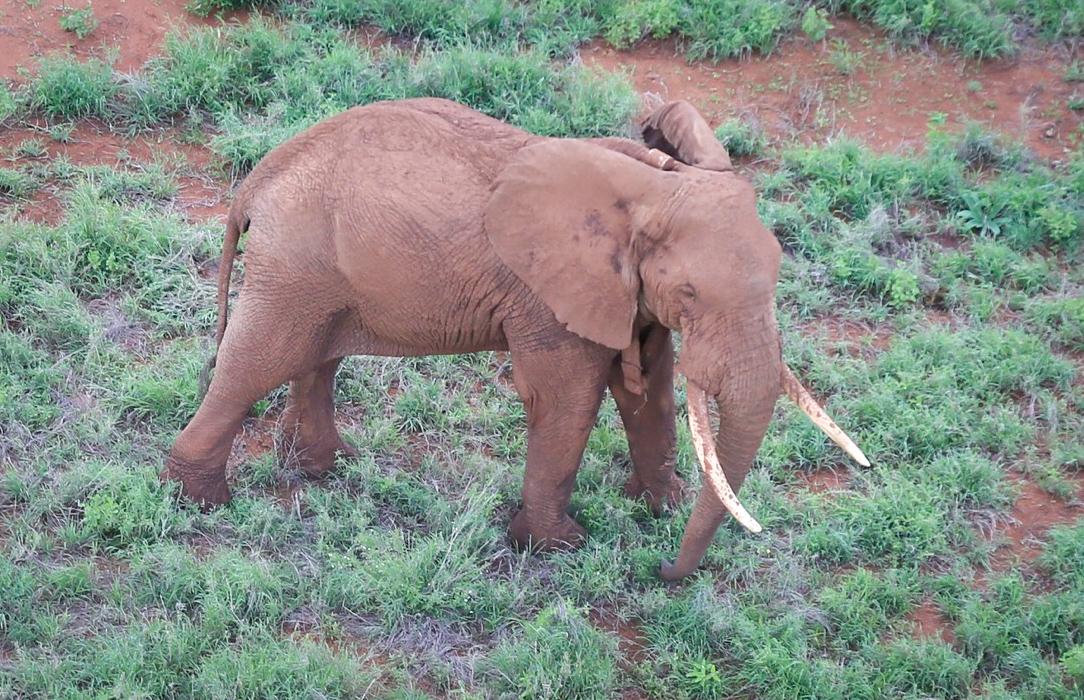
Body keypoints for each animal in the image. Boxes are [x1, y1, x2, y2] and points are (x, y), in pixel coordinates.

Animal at [162, 98, 871, 580]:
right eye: (693, 294)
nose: (662, 573)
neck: (653, 186)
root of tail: (257, 179)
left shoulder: (625, 296)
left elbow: (651, 389)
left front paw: (656, 509)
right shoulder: (548, 298)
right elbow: (569, 398)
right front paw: (561, 548)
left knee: (317, 356)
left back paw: (326, 470)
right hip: (295, 263)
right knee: (260, 360)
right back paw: (201, 503)